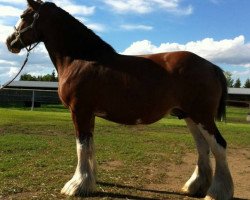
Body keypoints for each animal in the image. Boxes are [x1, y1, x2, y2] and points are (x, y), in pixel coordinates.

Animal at [6, 0, 234, 199]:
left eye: (24, 16)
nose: (10, 42)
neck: (80, 59)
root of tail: (211, 66)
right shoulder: (88, 113)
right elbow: (90, 145)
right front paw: (90, 181)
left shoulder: (79, 111)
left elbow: (81, 146)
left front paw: (76, 185)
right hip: (189, 116)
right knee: (203, 148)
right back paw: (195, 186)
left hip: (202, 116)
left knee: (219, 146)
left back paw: (218, 192)